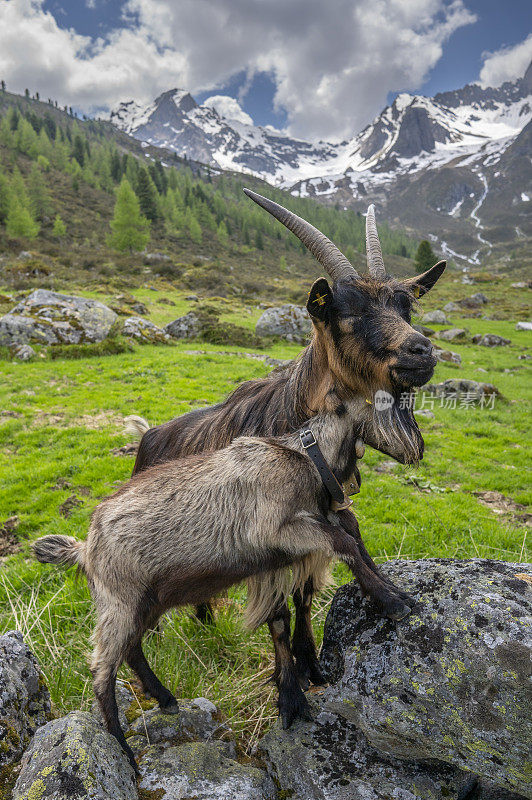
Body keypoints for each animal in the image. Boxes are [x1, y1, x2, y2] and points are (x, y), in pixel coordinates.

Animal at [35, 390, 410, 772]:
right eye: (385, 402)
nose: (415, 448)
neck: (305, 458)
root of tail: (85, 549)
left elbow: (351, 536)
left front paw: (397, 593)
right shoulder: (278, 530)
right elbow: (344, 541)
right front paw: (393, 602)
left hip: (150, 600)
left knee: (132, 648)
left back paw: (165, 698)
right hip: (119, 602)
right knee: (102, 671)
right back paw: (122, 748)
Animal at [128, 192, 444, 724]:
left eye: (406, 307)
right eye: (350, 314)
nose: (423, 352)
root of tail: (149, 438)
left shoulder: (322, 522)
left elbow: (305, 597)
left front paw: (312, 663)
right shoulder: (266, 541)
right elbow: (277, 614)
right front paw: (290, 695)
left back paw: (205, 620)